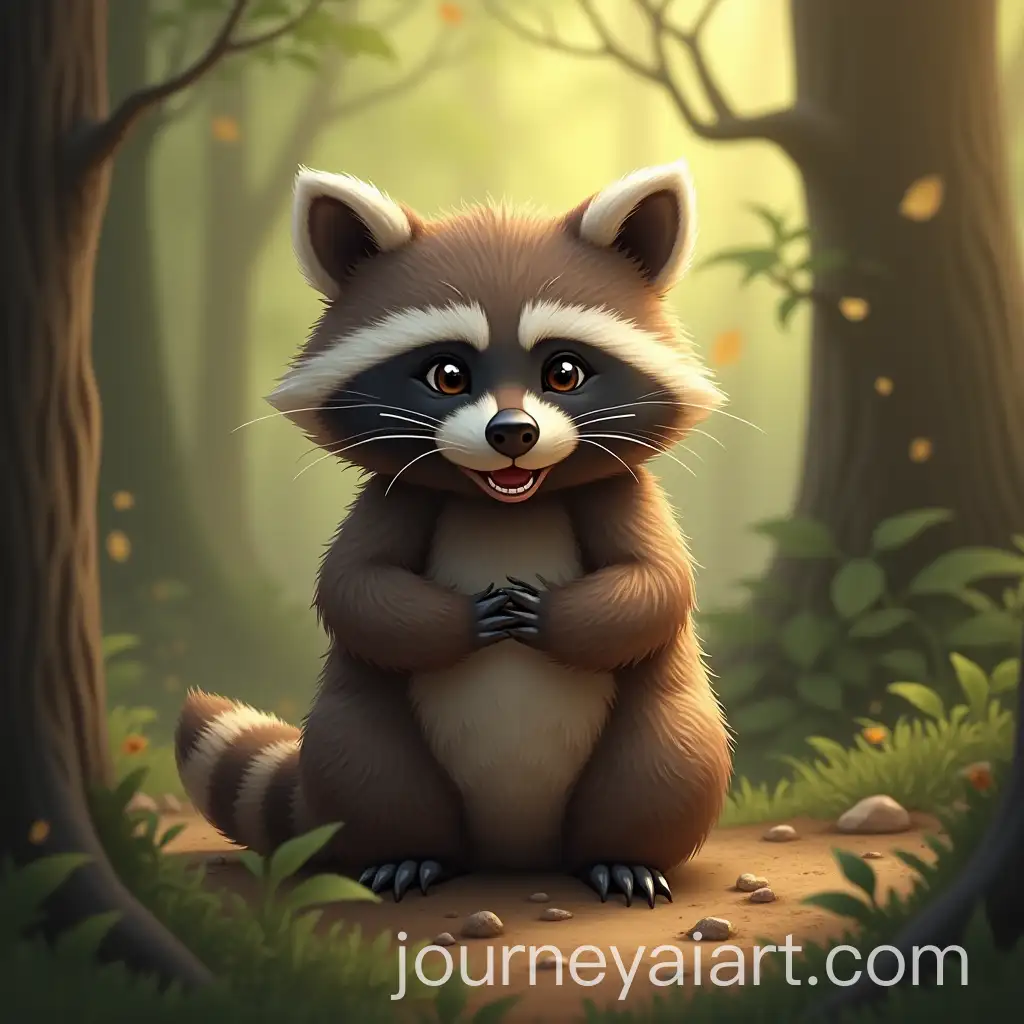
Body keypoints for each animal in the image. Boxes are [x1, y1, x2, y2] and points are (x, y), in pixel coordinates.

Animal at [176, 158, 732, 907]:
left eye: (564, 371)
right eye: (447, 375)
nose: (513, 433)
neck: (506, 502)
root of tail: (514, 854)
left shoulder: (621, 492)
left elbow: (658, 581)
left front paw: (550, 616)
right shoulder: (397, 496)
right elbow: (355, 587)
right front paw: (468, 618)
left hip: (660, 722)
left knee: (667, 756)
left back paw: (621, 855)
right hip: (366, 727)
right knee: (370, 763)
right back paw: (410, 852)